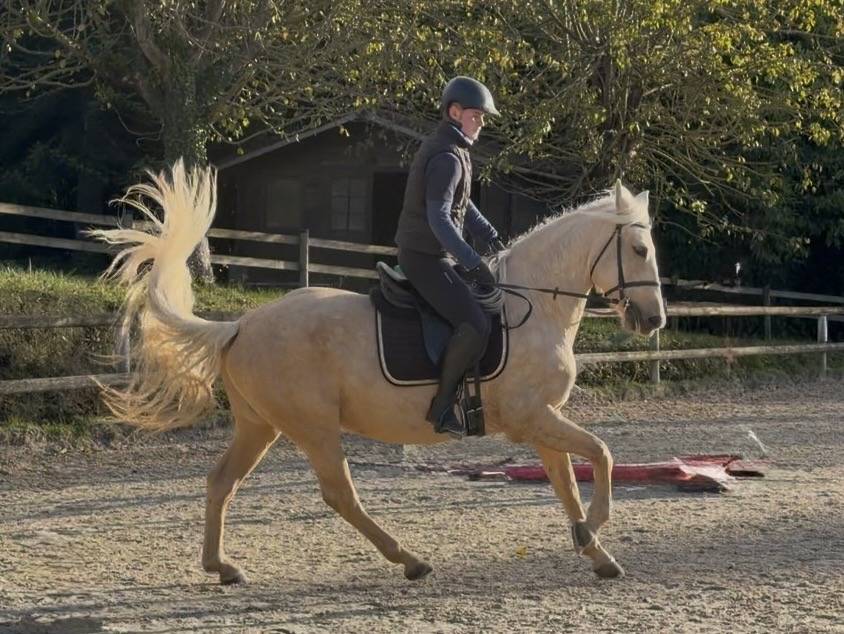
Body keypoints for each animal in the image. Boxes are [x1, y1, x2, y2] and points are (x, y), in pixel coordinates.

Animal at [91, 160, 665, 585]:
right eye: (639, 249)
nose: (653, 319)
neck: (537, 304)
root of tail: (240, 326)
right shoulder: (533, 418)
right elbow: (602, 455)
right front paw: (593, 531)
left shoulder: (543, 421)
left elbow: (568, 482)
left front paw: (595, 550)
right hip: (314, 427)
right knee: (339, 494)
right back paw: (410, 560)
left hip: (261, 426)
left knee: (221, 481)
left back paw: (223, 567)